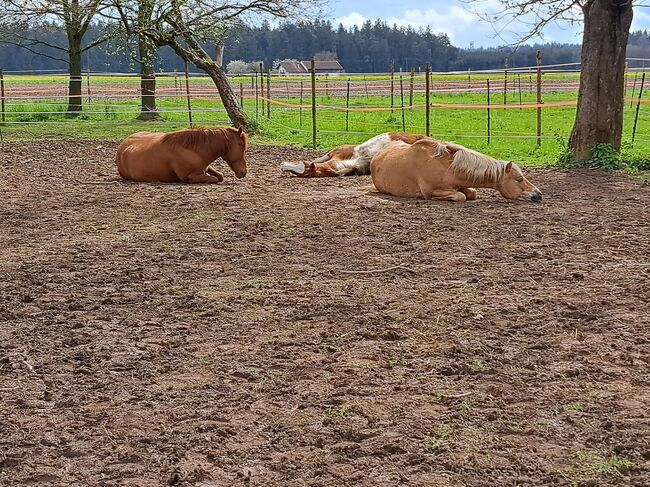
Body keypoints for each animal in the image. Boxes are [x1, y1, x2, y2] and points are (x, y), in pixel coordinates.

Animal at [115, 127, 247, 184]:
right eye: (242, 146)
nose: (243, 172)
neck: (192, 150)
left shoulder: (205, 166)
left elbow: (219, 175)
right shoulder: (189, 175)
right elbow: (214, 178)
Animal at [370, 138, 540, 203]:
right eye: (519, 179)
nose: (539, 194)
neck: (447, 168)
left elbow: (472, 193)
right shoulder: (432, 191)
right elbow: (460, 196)